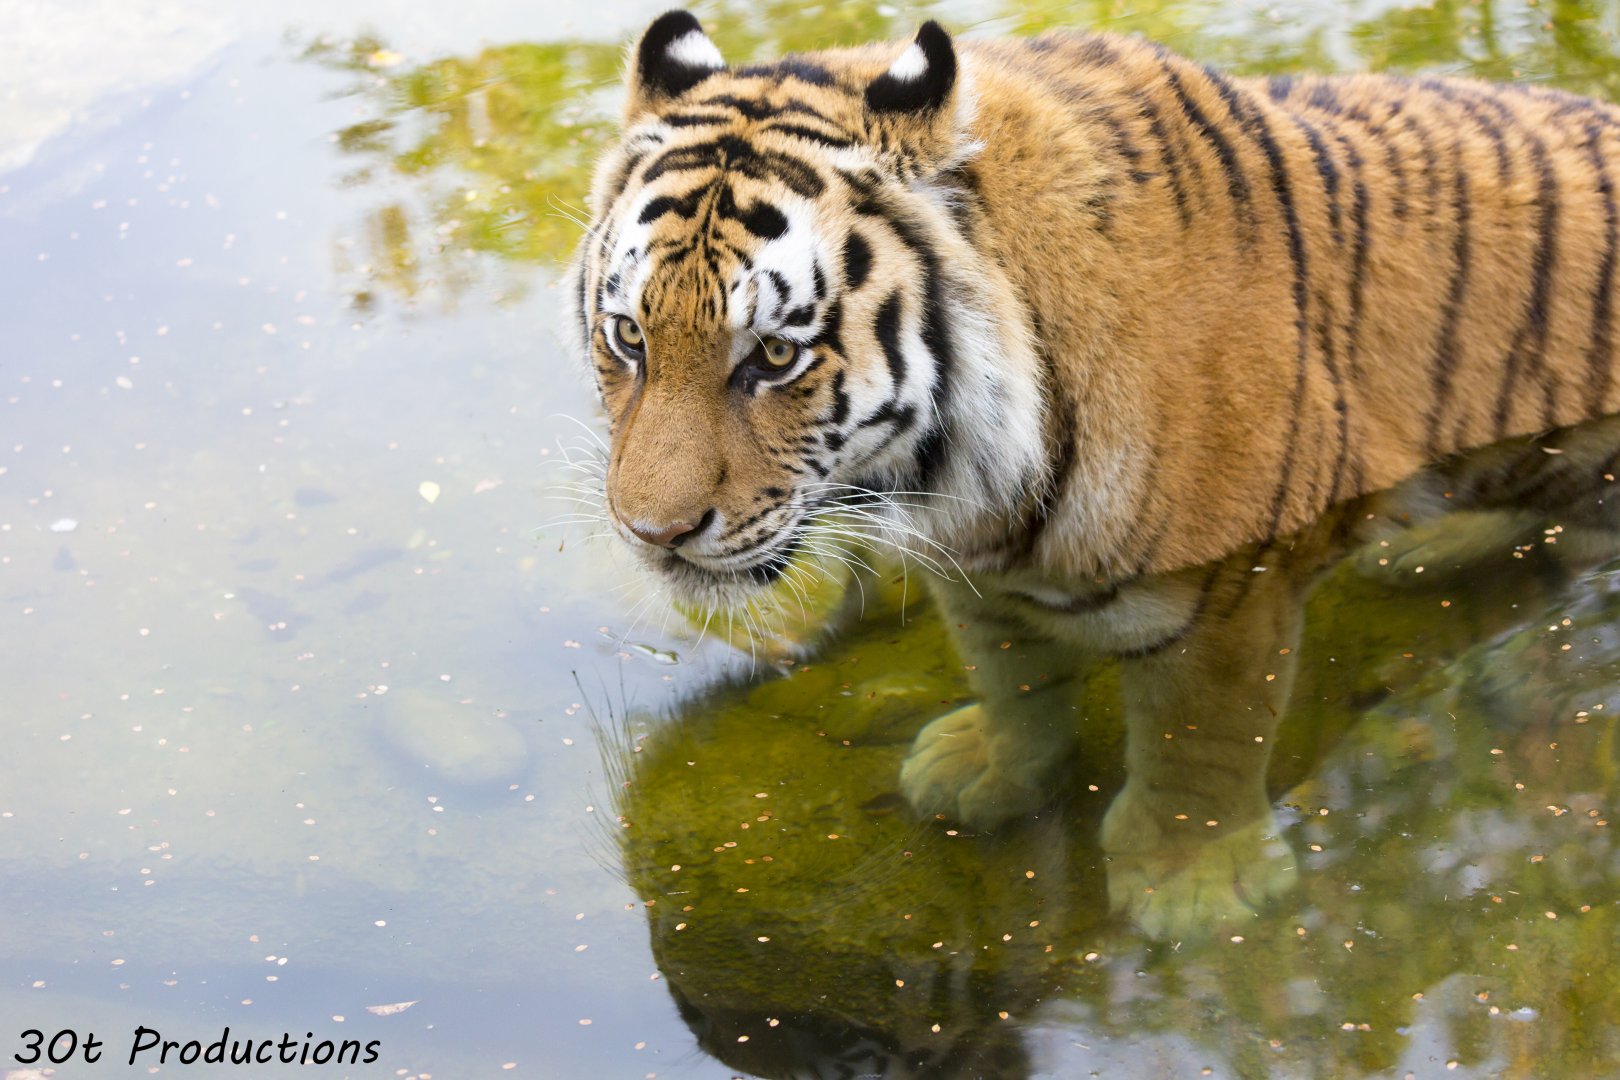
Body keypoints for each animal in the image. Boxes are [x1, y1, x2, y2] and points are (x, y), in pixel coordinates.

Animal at [562, 9, 1620, 938]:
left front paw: (1191, 882)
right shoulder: (977, 571)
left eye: (775, 357)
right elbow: (1012, 680)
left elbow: (1201, 741)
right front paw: (985, 772)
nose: (652, 534)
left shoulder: (1228, 592)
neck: (974, 470)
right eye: (629, 337)